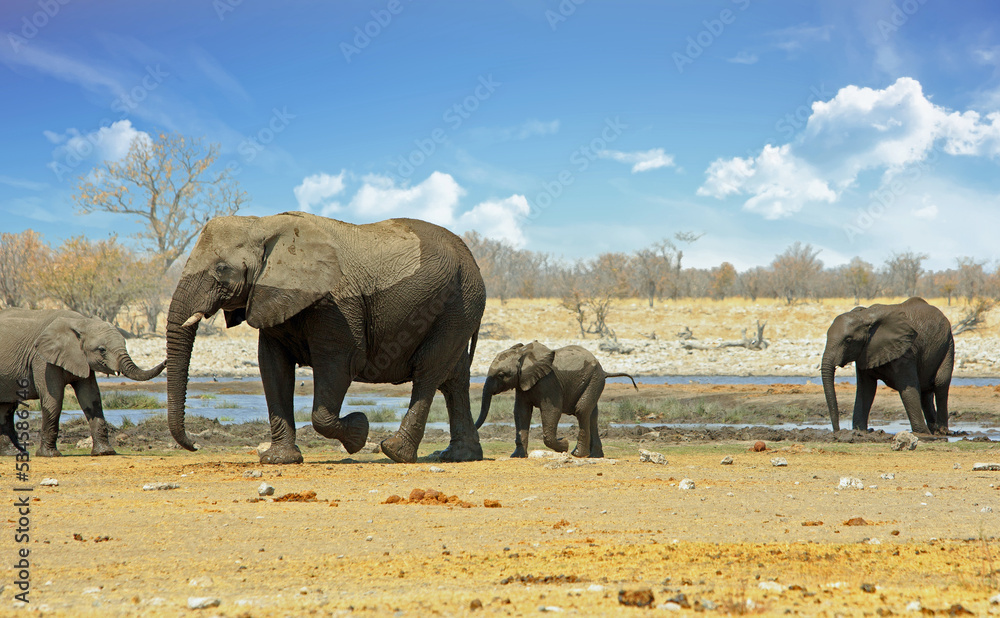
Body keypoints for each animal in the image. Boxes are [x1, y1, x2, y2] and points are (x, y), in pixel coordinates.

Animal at [0, 309, 165, 456]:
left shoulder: (82, 360)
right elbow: (53, 400)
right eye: (102, 349)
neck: (81, 321)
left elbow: (91, 398)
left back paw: (14, 453)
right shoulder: (42, 360)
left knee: (6, 408)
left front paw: (105, 452)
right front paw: (49, 454)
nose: (165, 361)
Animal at [165, 212, 486, 464]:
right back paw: (460, 456)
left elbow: (338, 365)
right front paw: (279, 460)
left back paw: (395, 452)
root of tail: (470, 258)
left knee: (429, 373)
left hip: (457, 306)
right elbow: (273, 367)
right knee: (454, 379)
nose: (195, 445)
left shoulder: (336, 305)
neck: (261, 223)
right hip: (460, 307)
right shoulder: (271, 297)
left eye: (221, 269)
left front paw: (359, 432)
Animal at [475, 342, 637, 458]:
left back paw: (578, 454)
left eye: (501, 375)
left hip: (594, 380)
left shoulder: (549, 382)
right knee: (592, 414)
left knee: (582, 410)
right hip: (594, 381)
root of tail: (603, 370)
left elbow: (552, 411)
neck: (523, 355)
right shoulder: (522, 383)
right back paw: (595, 456)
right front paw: (517, 456)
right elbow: (521, 412)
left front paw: (564, 444)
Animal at [821, 297, 954, 434]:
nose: (837, 431)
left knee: (941, 383)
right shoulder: (865, 353)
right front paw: (860, 431)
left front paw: (921, 433)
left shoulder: (906, 351)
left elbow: (908, 388)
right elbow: (866, 390)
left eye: (848, 340)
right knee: (925, 391)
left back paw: (942, 431)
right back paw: (934, 430)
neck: (865, 316)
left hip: (947, 344)